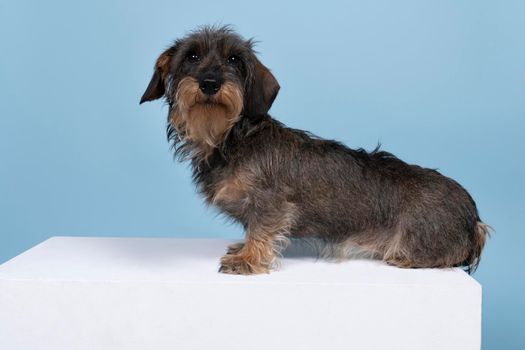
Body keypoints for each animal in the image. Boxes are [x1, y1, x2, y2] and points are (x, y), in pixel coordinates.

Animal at [139, 26, 488, 274]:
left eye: (234, 60)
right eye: (192, 57)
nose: (210, 83)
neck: (229, 137)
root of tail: (475, 219)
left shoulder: (271, 202)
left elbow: (262, 228)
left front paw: (249, 259)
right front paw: (243, 250)